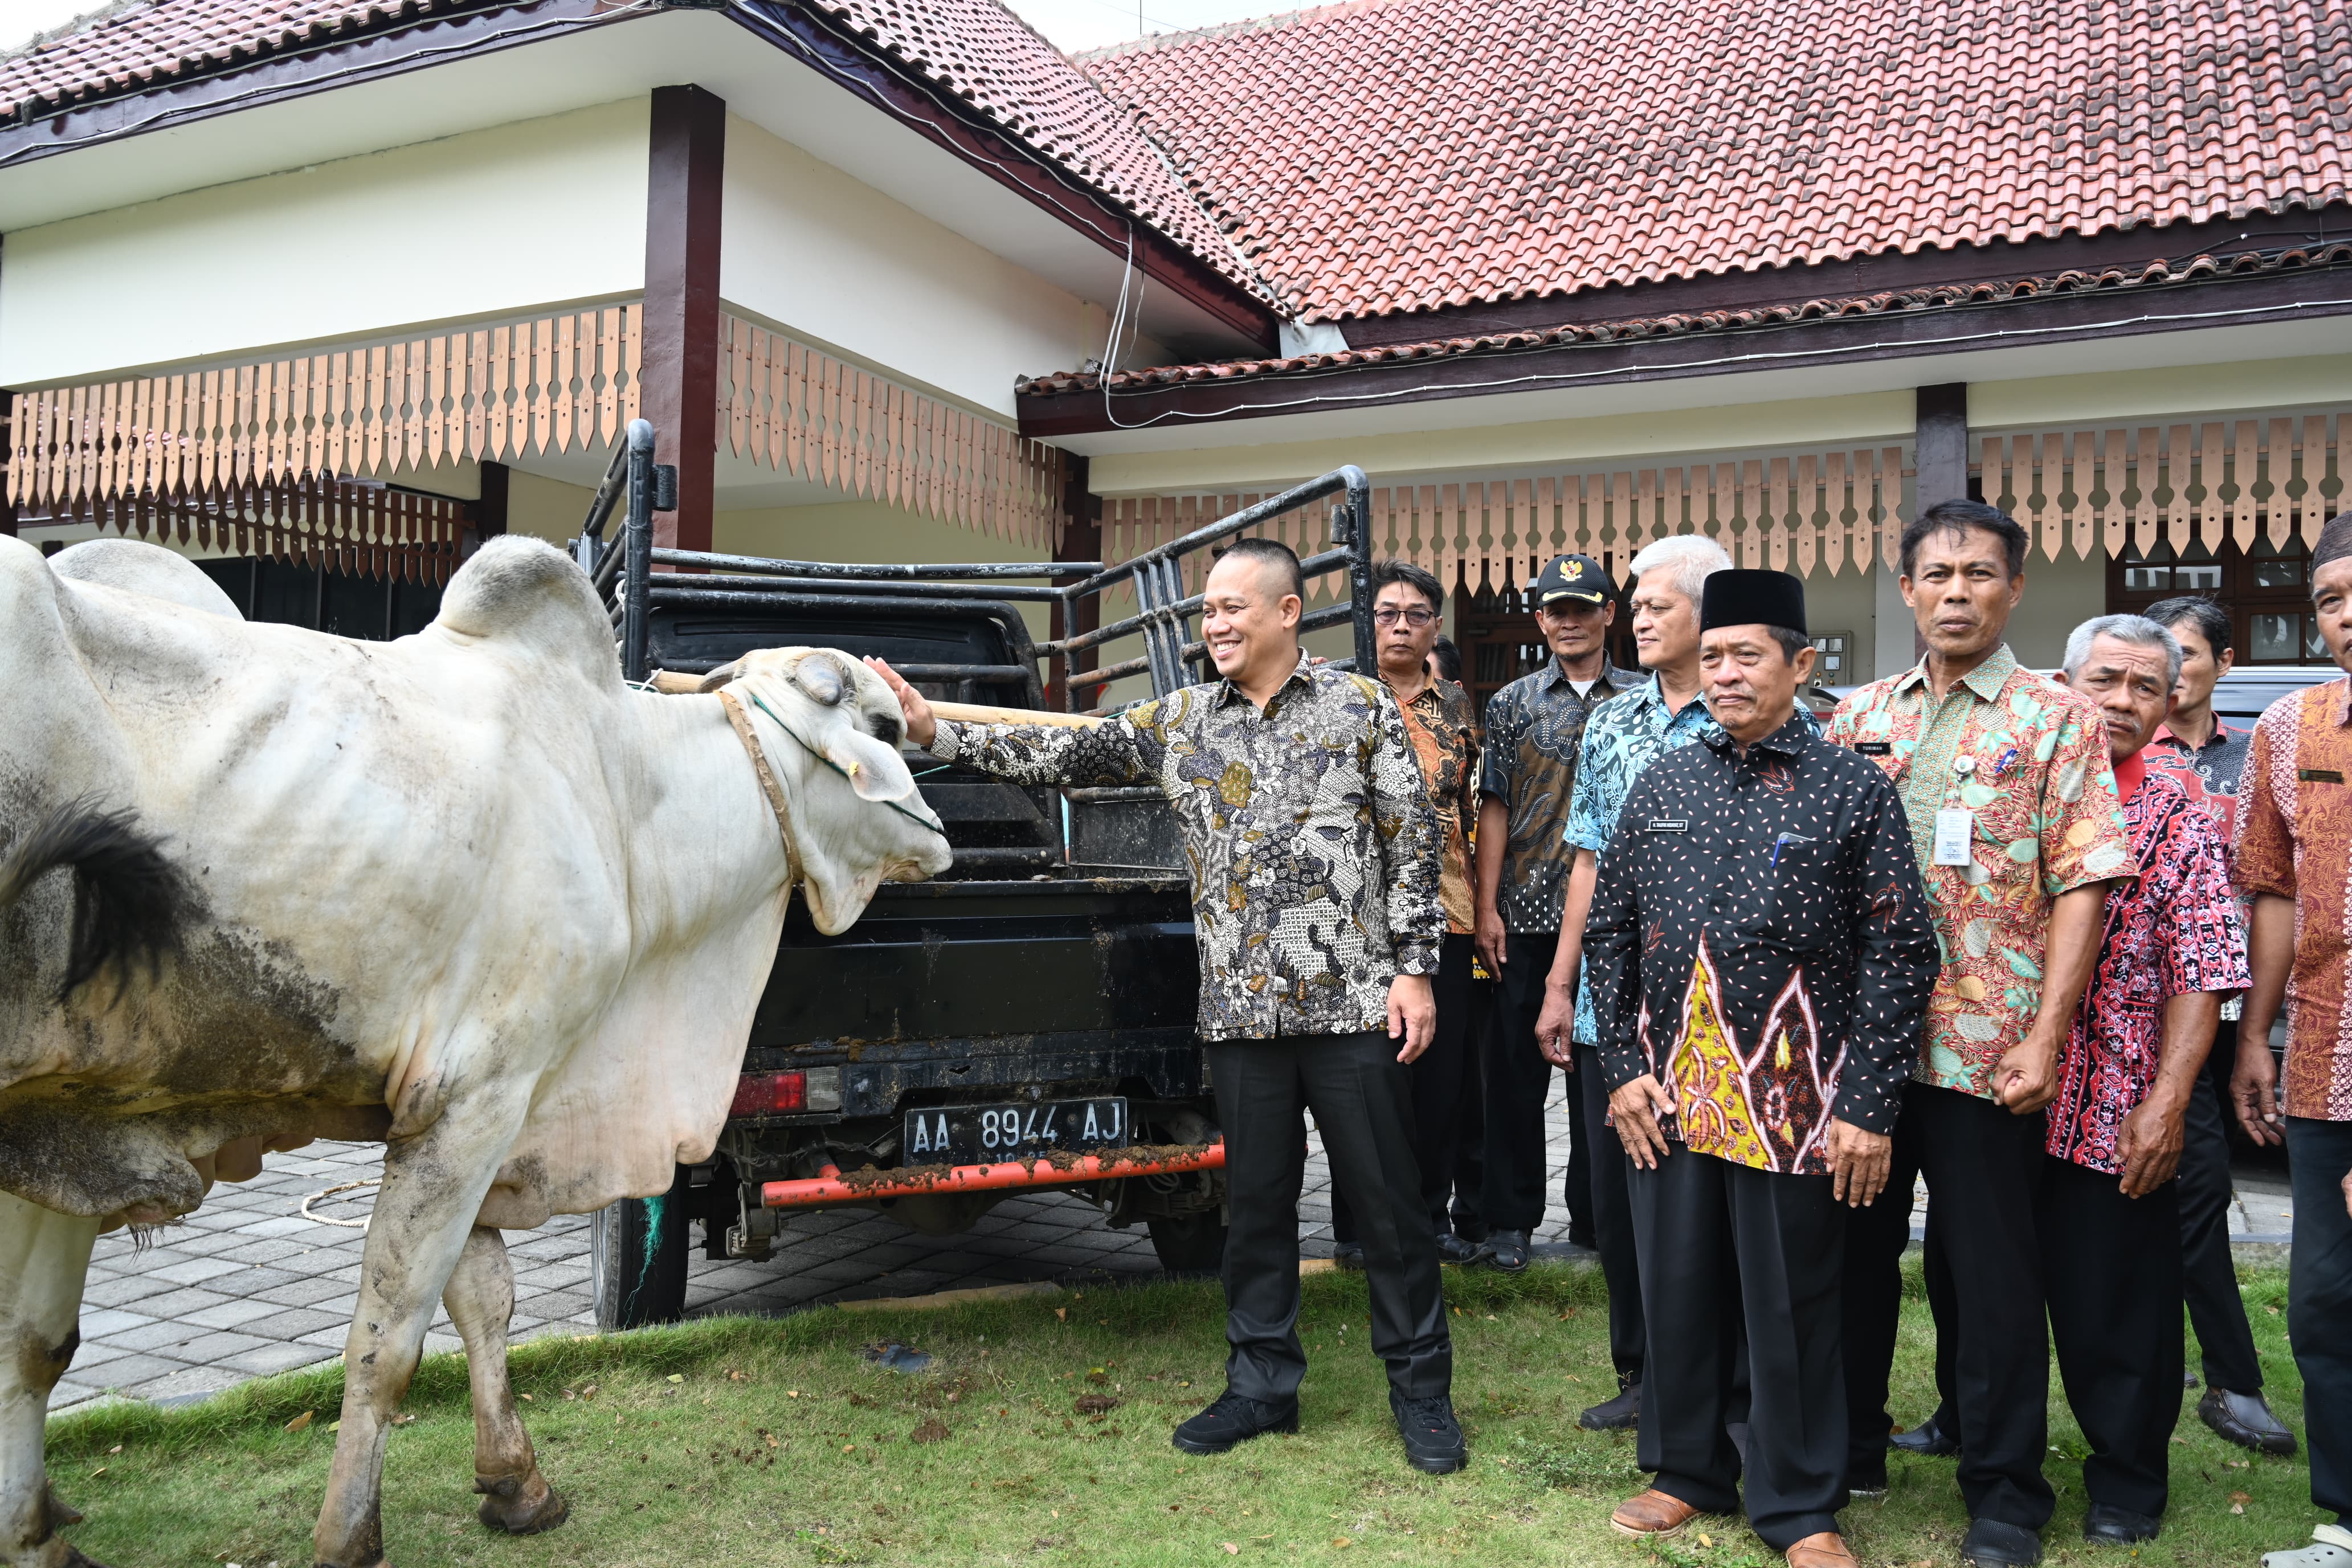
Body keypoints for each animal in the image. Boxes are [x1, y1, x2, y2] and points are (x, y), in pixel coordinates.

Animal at [2, 533, 954, 1561]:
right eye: (885, 726)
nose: (944, 834)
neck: (624, 796)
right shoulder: (477, 1094)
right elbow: (390, 1339)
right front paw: (349, 1533)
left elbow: (481, 1294)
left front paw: (516, 1483)